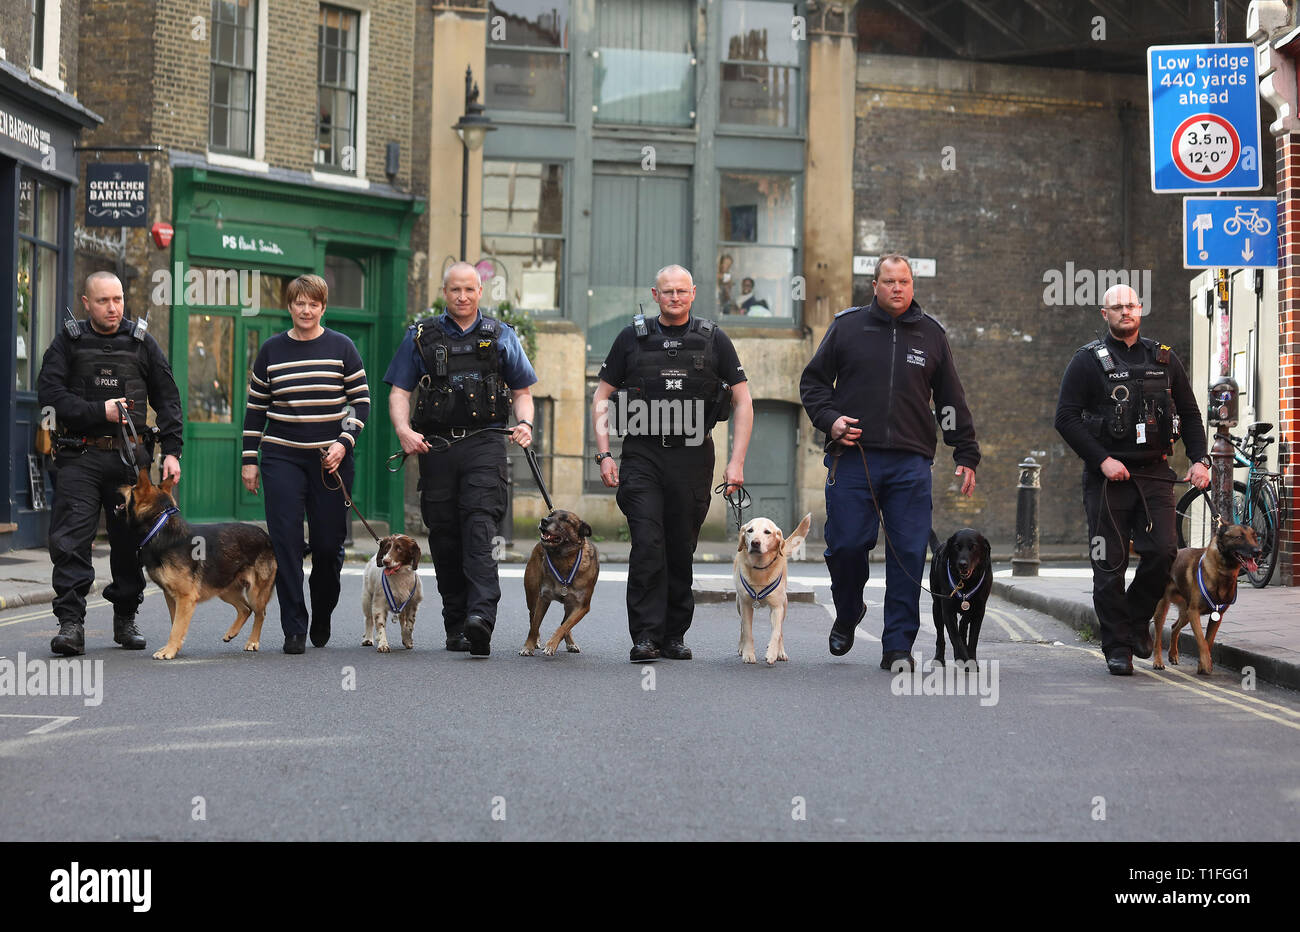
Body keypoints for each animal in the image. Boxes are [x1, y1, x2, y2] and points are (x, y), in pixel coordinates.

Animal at [118, 467, 278, 657]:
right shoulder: (172, 597)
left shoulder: (185, 598)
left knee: (260, 613)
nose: (120, 484)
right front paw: (173, 648)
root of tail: (266, 535)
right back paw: (232, 633)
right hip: (225, 589)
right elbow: (175, 624)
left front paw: (169, 651)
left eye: (132, 487)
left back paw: (253, 641)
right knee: (245, 609)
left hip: (256, 593)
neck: (160, 525)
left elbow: (176, 627)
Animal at [738, 512, 806, 665]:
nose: (755, 543)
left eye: (767, 532)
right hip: (738, 604)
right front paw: (748, 653)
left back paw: (780, 652)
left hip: (784, 605)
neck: (760, 568)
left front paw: (772, 653)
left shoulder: (777, 607)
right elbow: (747, 631)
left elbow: (776, 632)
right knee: (742, 626)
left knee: (780, 631)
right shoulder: (745, 605)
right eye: (750, 530)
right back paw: (741, 647)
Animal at [930, 522, 987, 670]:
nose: (962, 564)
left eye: (973, 546)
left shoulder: (979, 610)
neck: (966, 583)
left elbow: (972, 638)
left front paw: (971, 660)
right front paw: (963, 658)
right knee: (940, 635)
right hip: (936, 608)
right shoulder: (947, 611)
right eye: (957, 546)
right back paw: (939, 658)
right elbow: (955, 637)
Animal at [1154, 519, 1263, 670]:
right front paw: (1205, 664)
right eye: (1239, 537)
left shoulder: (1216, 616)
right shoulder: (1194, 613)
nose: (1258, 552)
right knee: (1157, 636)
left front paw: (1202, 664)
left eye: (1254, 536)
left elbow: (1208, 641)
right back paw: (1158, 661)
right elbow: (1201, 640)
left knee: (1174, 627)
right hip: (1164, 609)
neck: (1222, 572)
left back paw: (1173, 654)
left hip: (1186, 612)